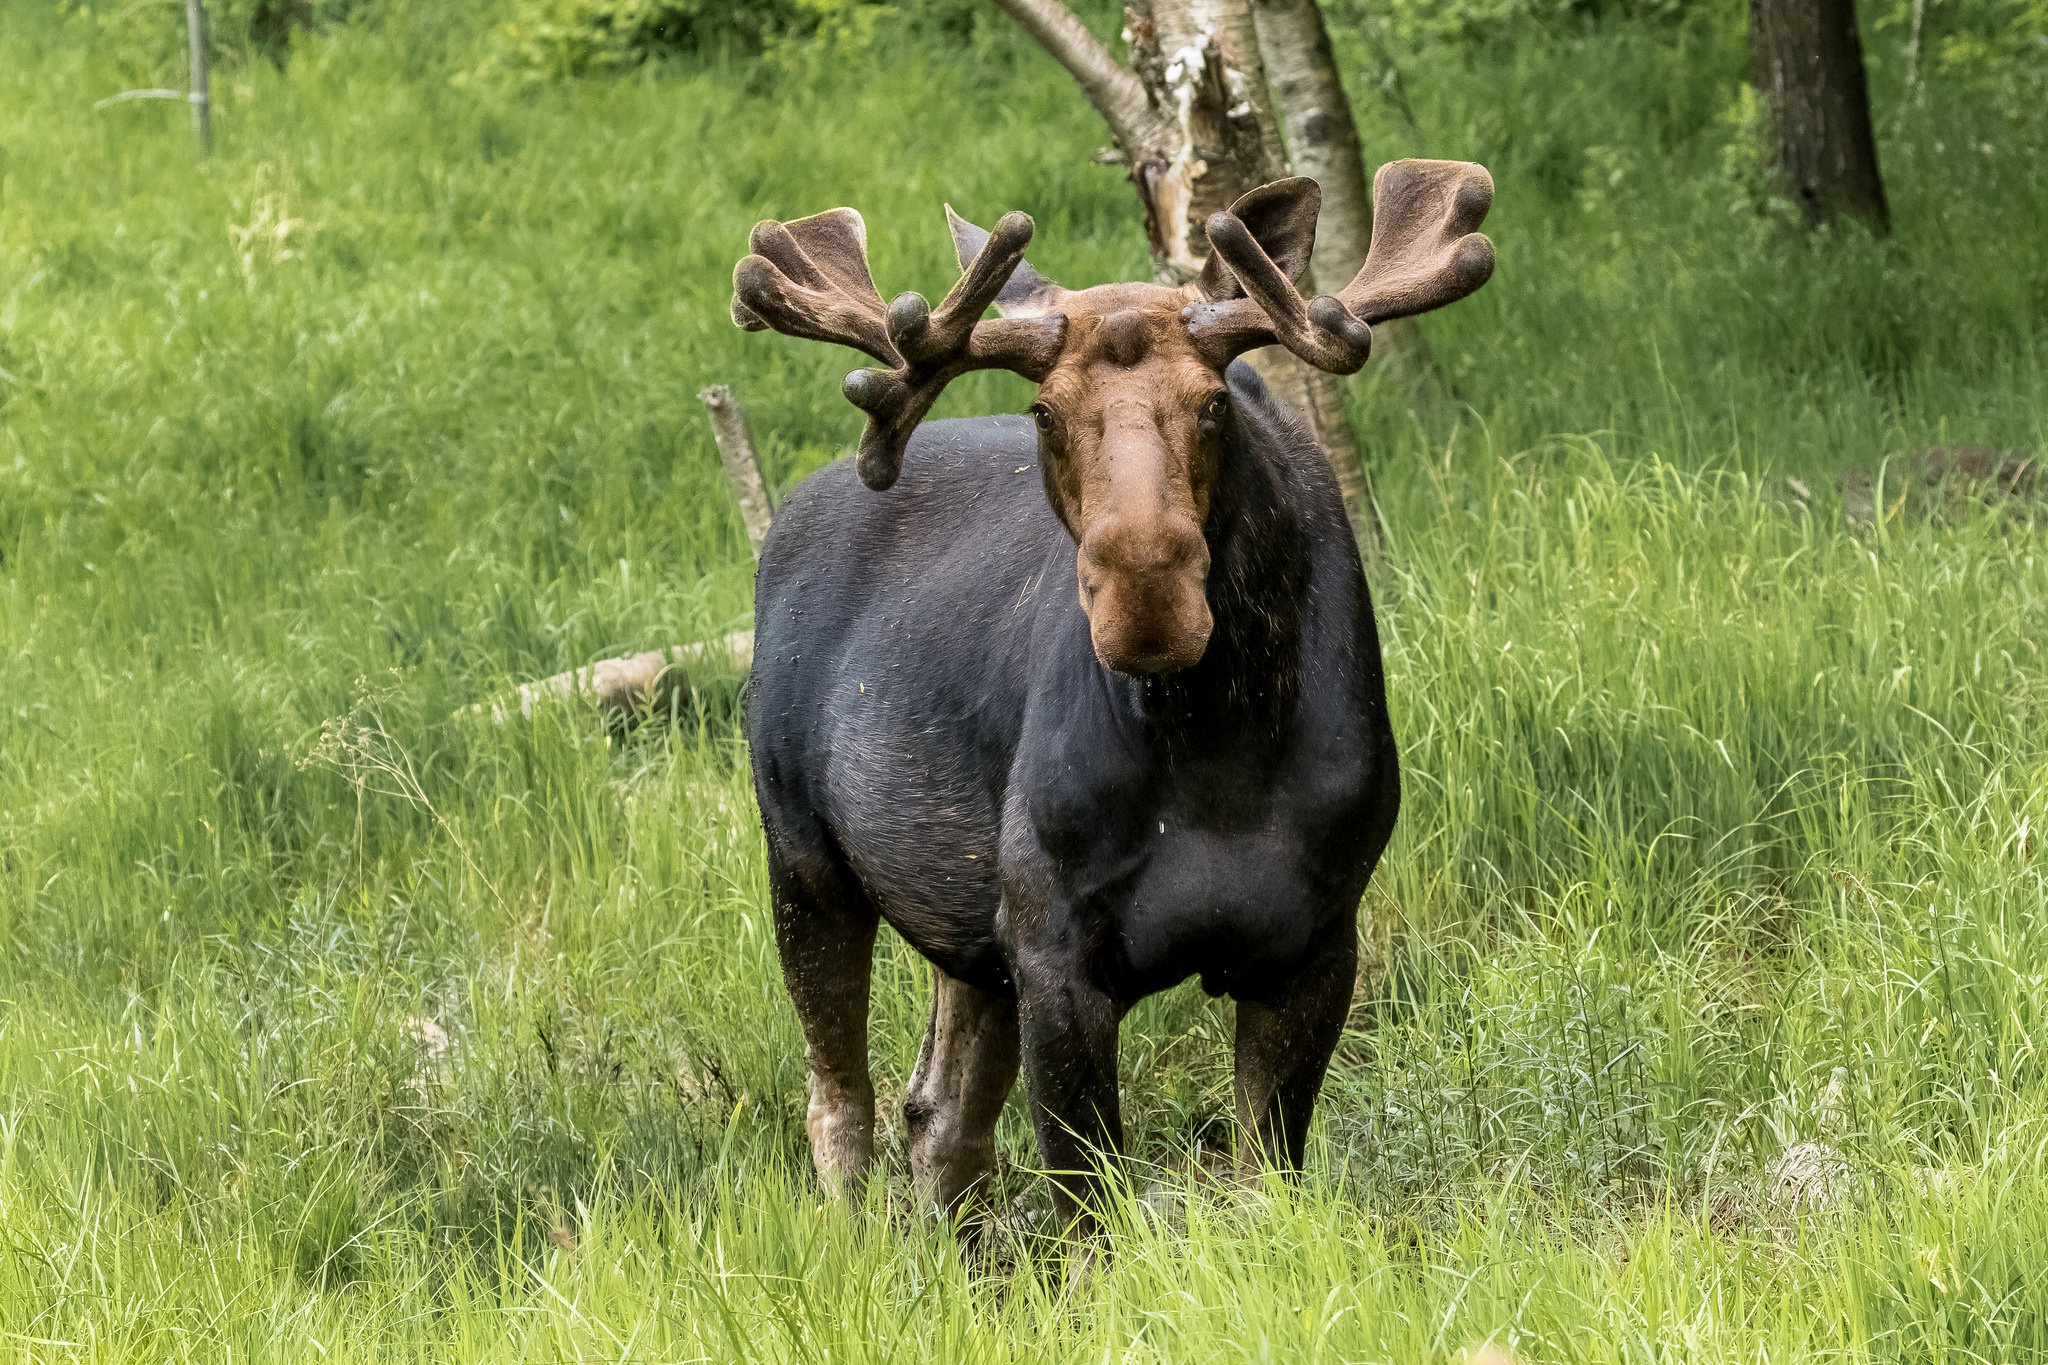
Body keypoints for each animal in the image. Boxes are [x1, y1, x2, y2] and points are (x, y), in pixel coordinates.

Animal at [733, 157, 1490, 1227]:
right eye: (1044, 410)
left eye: (1214, 401)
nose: (1147, 594)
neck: (1221, 751)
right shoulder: (1055, 949)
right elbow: (1089, 1206)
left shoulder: (1317, 940)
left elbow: (1267, 1180)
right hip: (803, 854)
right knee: (841, 1098)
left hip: (966, 924)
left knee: (939, 1114)